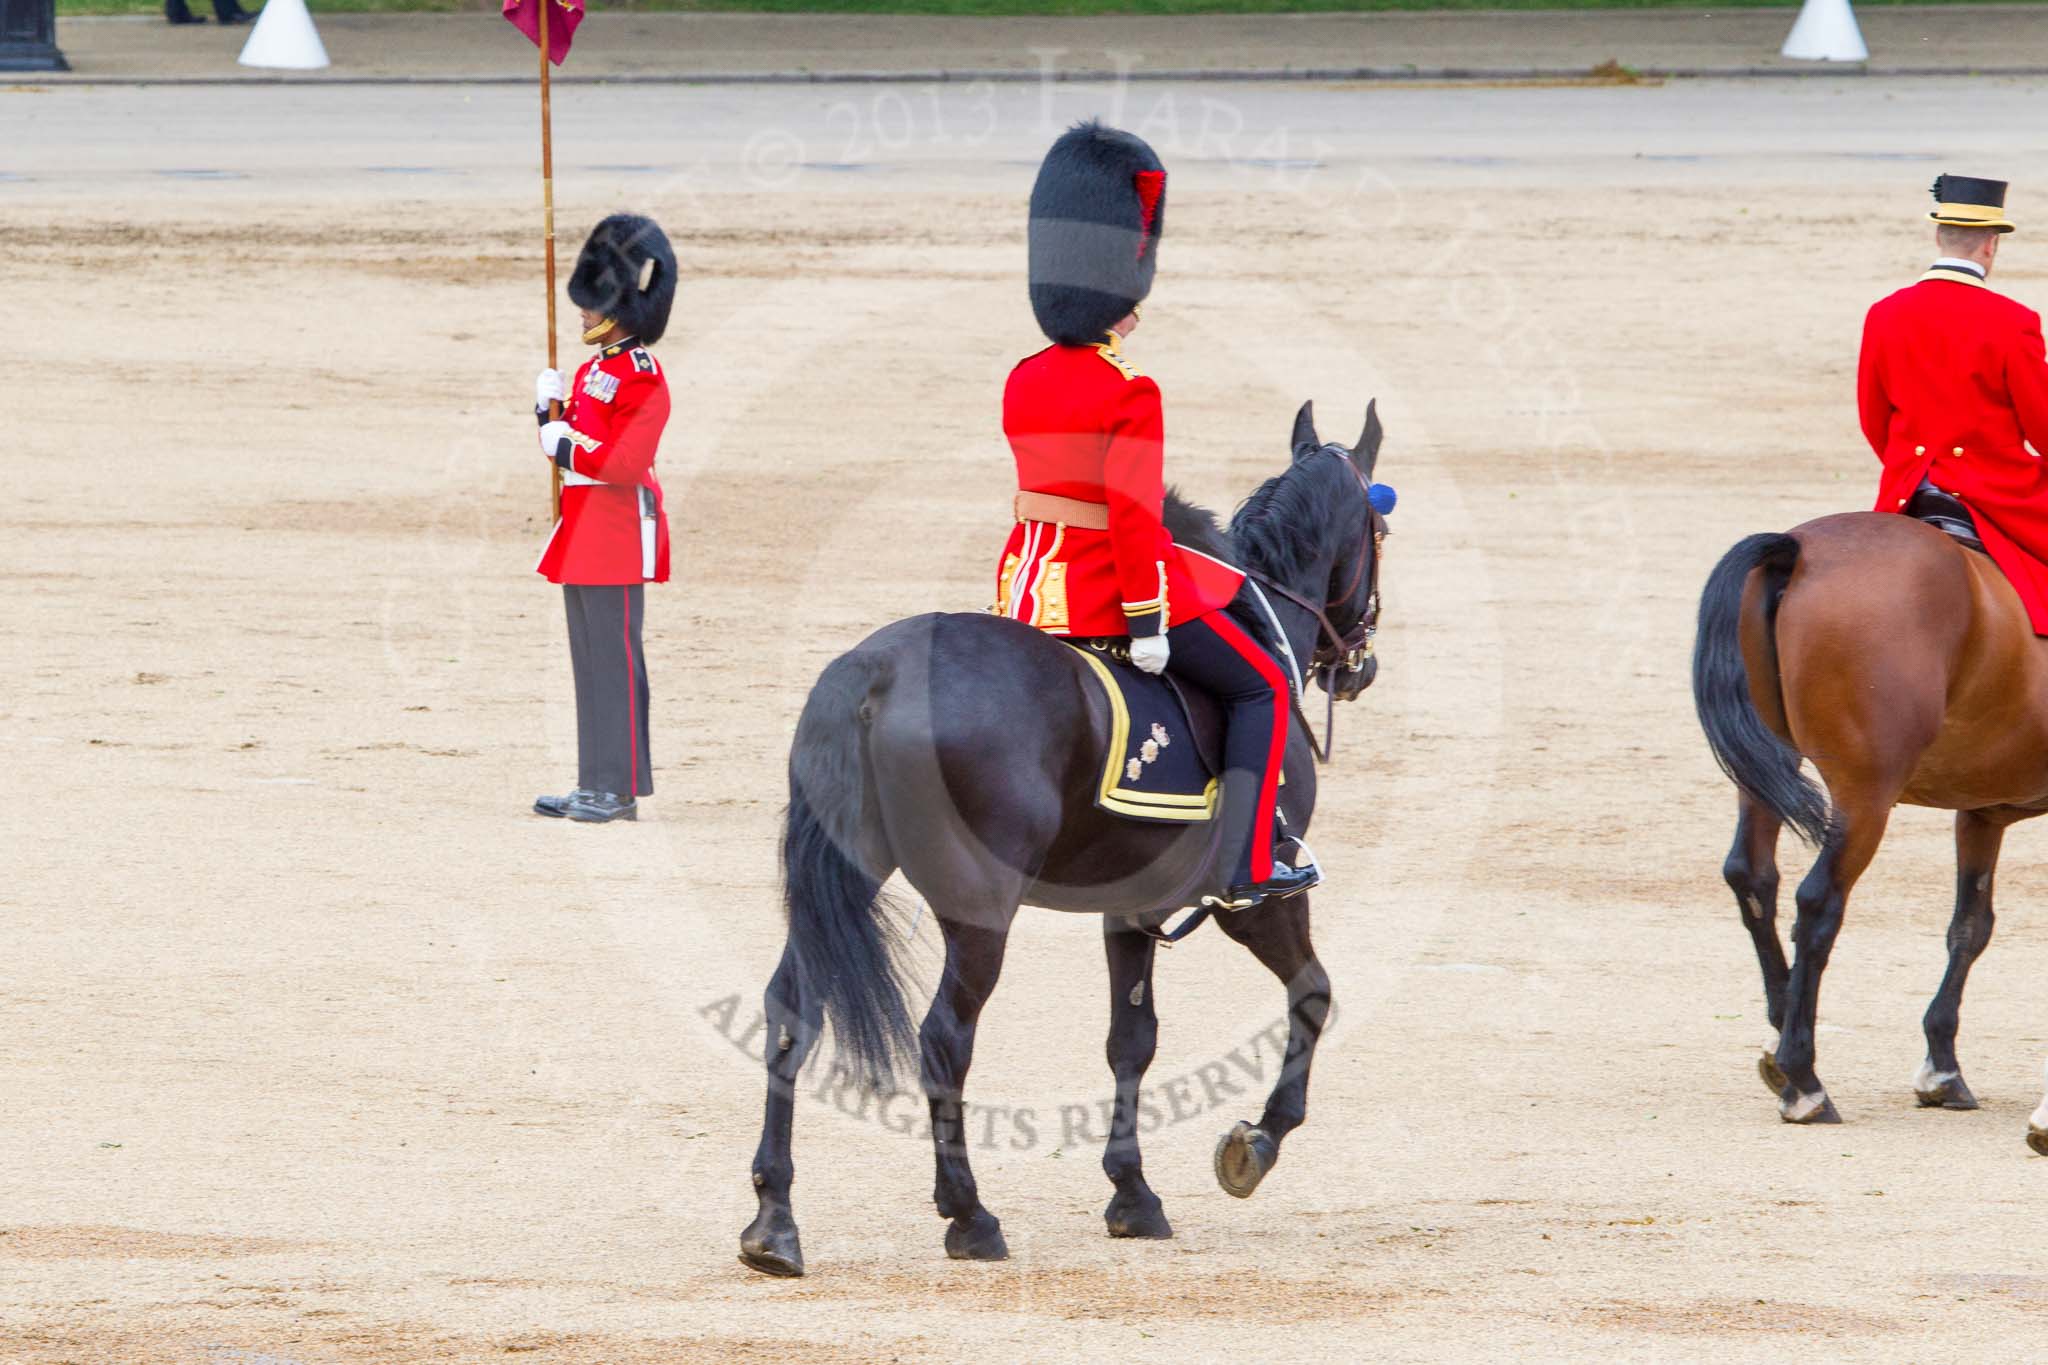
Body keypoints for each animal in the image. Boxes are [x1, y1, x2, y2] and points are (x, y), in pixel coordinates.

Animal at [741, 401, 1392, 1277]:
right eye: (1378, 528)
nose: (1359, 664)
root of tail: (875, 670)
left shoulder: (1133, 905)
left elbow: (1132, 1039)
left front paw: (1133, 1193)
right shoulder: (1250, 895)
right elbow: (1314, 993)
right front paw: (1255, 1142)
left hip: (849, 879)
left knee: (791, 1012)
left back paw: (774, 1220)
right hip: (981, 912)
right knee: (944, 1038)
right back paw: (969, 1214)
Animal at [1687, 507, 2048, 1146]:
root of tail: (1798, 547)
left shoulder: (1983, 812)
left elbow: (1970, 927)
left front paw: (1942, 1067)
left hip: (1767, 771)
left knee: (1752, 878)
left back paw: (1781, 1041)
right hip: (1866, 795)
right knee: (1818, 903)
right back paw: (1805, 1081)